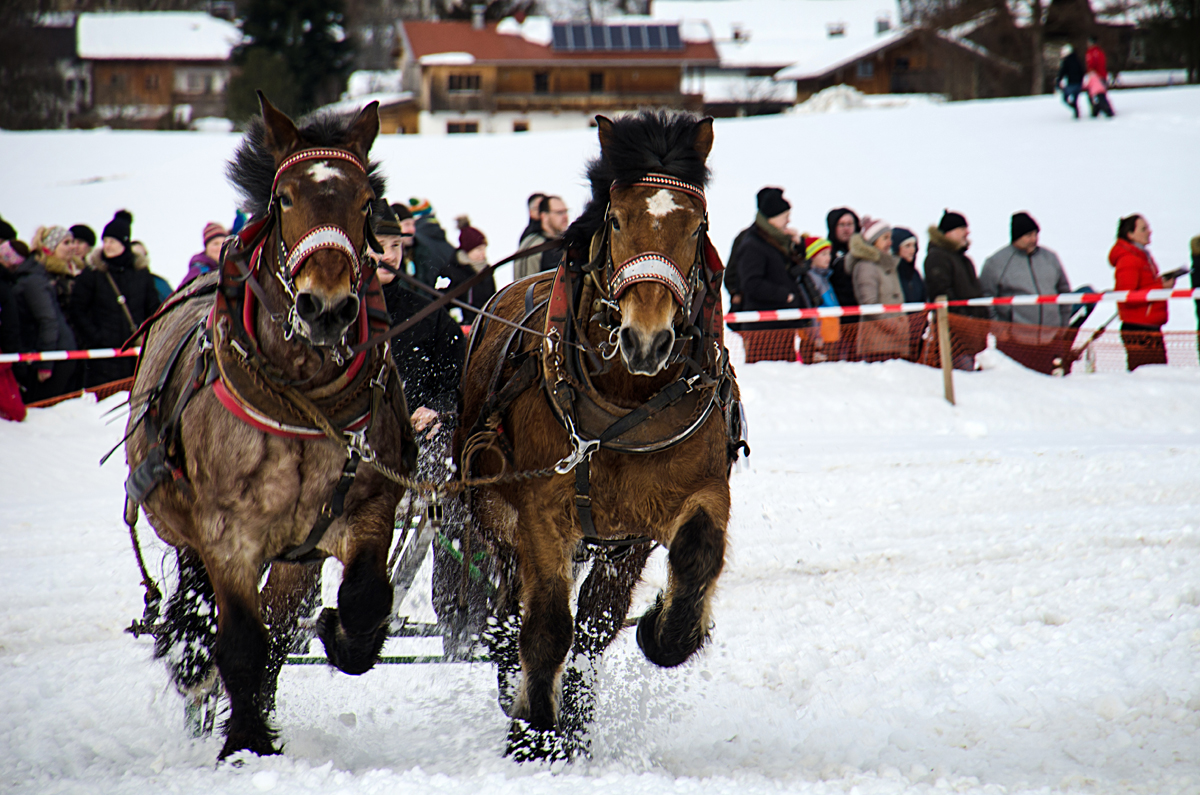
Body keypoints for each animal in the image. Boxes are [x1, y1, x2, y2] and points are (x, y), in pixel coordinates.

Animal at [121, 96, 412, 763]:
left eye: (367, 200)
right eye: (285, 197)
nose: (325, 308)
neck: (300, 400)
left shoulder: (362, 511)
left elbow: (363, 600)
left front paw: (339, 634)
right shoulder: (228, 534)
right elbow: (240, 643)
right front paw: (246, 743)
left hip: (294, 557)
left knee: (278, 631)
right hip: (191, 534)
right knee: (204, 618)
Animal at [456, 109, 744, 763]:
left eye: (697, 225)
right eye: (616, 220)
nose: (647, 338)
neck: (623, 403)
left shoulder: (697, 495)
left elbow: (695, 558)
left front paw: (666, 632)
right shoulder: (541, 511)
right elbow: (544, 626)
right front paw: (535, 733)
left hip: (618, 543)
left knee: (595, 623)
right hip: (500, 523)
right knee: (511, 617)